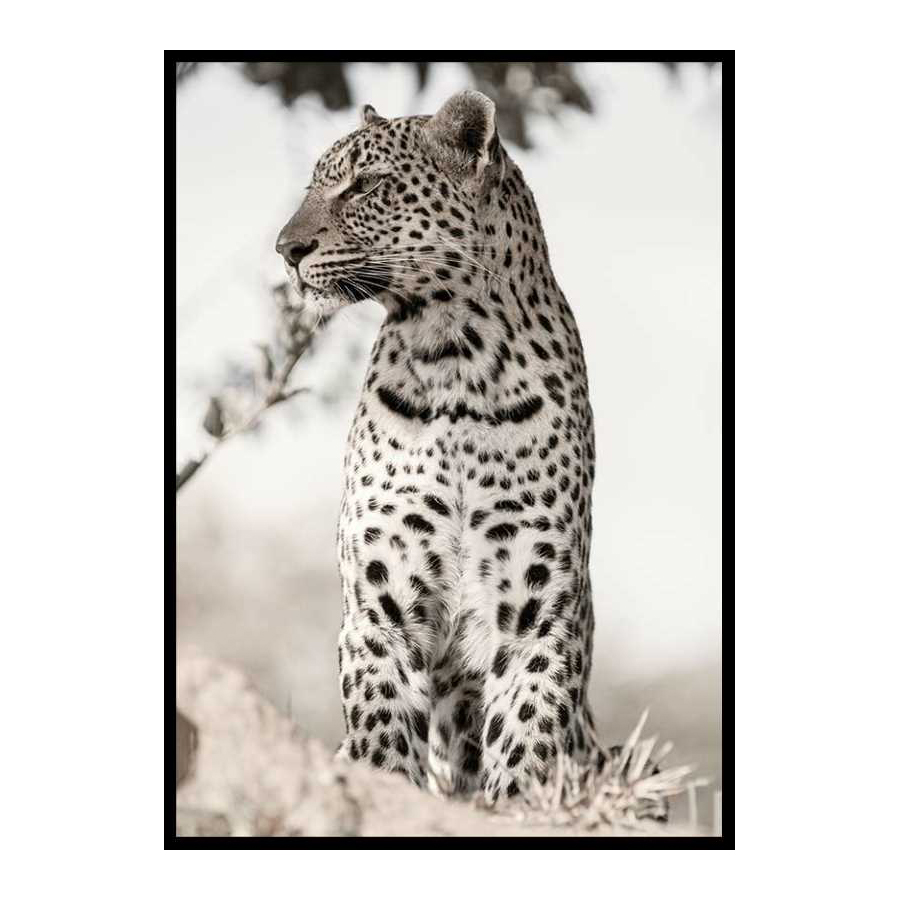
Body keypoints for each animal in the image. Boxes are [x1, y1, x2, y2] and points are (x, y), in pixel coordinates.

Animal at [277, 90, 603, 804]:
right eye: (315, 184)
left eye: (365, 185)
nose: (285, 249)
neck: (455, 356)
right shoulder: (380, 608)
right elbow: (381, 741)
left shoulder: (538, 615)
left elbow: (525, 746)